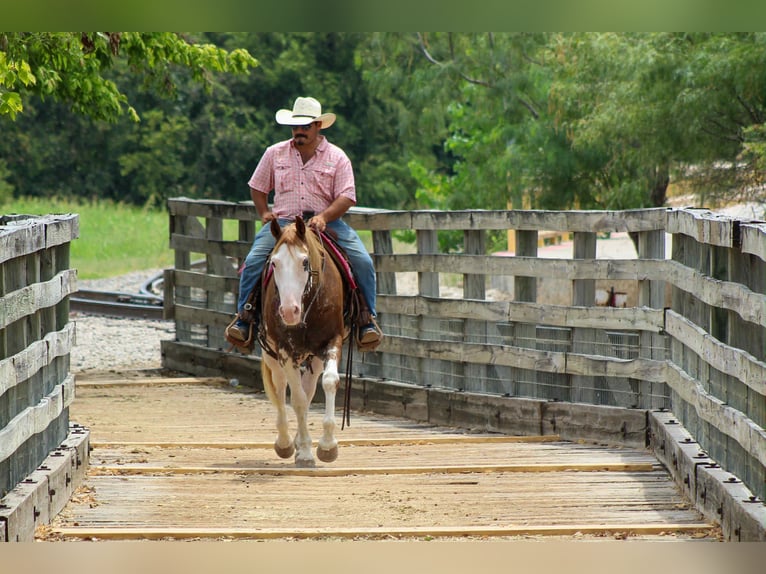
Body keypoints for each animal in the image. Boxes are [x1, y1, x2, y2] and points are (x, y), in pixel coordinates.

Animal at [258, 216, 349, 467]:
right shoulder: (284, 351)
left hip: (312, 358)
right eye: (274, 263)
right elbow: (296, 399)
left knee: (308, 389)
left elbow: (329, 382)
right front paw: (307, 452)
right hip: (272, 356)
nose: (289, 311)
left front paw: (327, 446)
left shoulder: (332, 342)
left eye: (305, 262)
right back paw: (285, 443)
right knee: (280, 388)